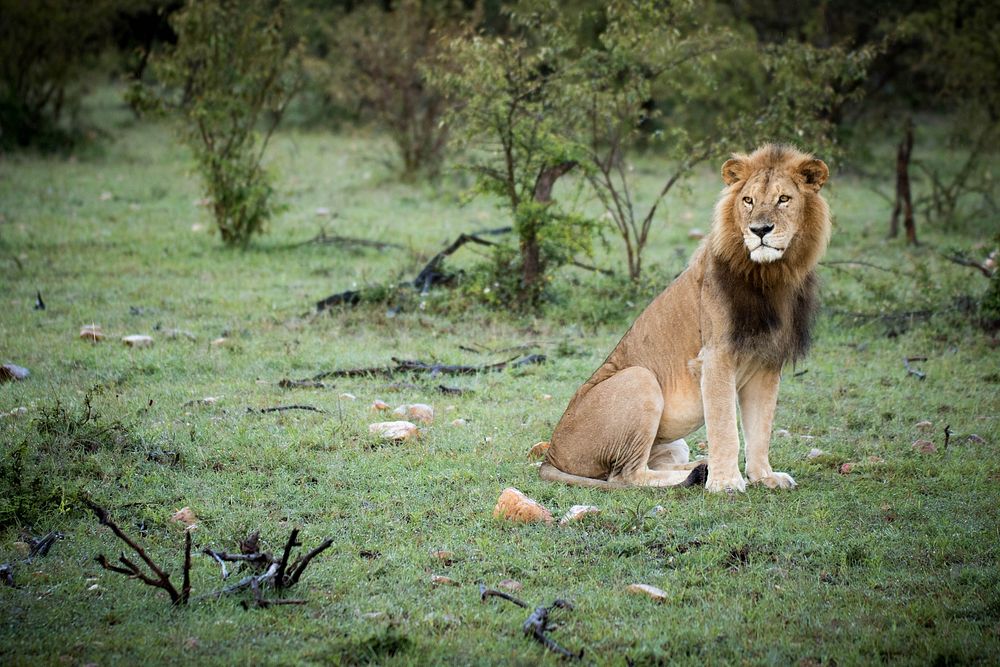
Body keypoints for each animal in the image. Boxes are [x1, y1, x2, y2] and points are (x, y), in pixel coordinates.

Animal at [544, 144, 832, 494]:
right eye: (748, 201)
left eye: (784, 199)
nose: (760, 231)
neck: (770, 275)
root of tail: (552, 455)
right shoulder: (715, 357)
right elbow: (725, 428)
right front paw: (726, 483)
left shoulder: (766, 363)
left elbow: (760, 429)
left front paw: (764, 476)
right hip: (639, 378)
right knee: (626, 475)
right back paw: (697, 475)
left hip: (671, 441)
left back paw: (699, 466)